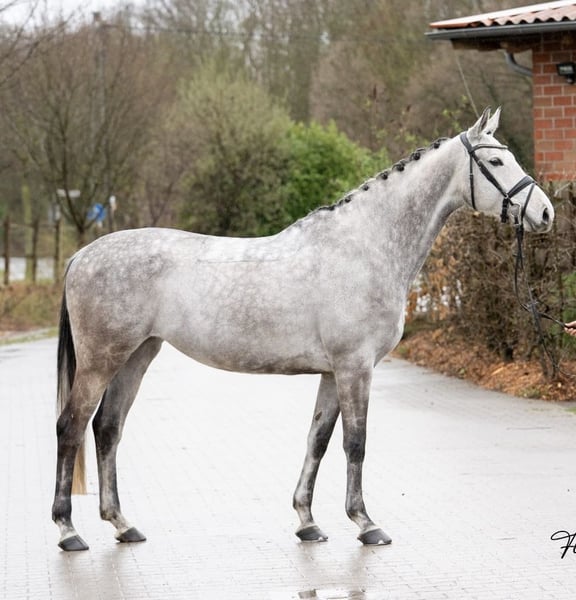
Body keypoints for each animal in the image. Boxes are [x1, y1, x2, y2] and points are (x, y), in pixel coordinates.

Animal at [52, 108, 554, 551]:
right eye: (496, 162)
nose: (546, 212)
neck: (364, 246)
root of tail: (80, 256)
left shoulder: (333, 372)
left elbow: (319, 439)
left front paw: (308, 523)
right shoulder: (355, 367)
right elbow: (355, 443)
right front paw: (366, 523)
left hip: (137, 355)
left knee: (108, 429)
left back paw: (122, 525)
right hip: (102, 361)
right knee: (71, 426)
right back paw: (68, 531)